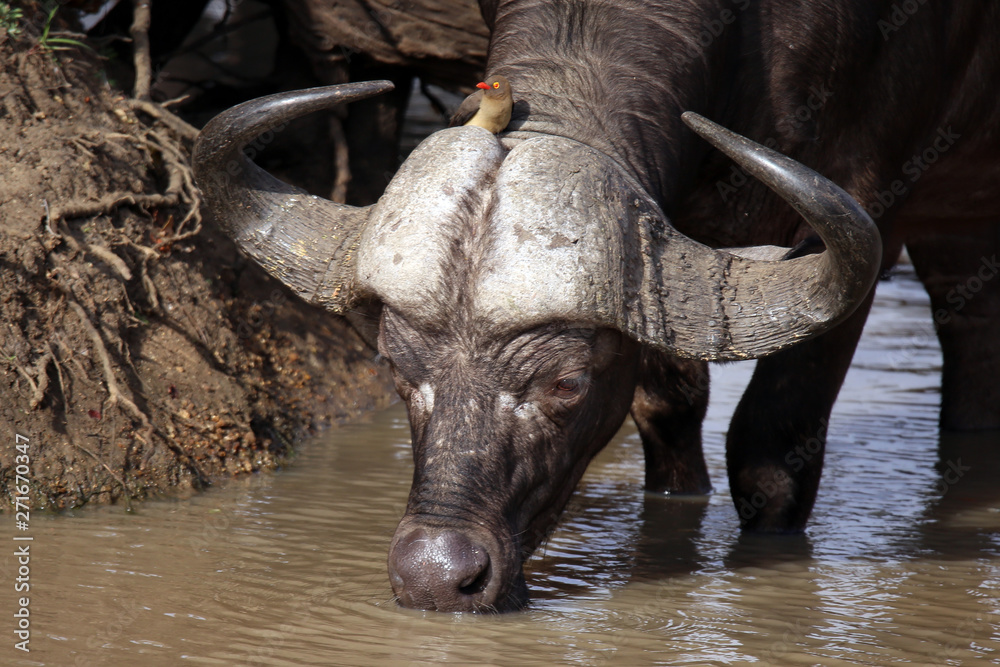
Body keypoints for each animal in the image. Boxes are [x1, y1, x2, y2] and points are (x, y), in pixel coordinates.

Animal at [194, 0, 1000, 612]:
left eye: (565, 383)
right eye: (395, 367)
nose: (434, 576)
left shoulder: (875, 202)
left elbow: (770, 452)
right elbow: (670, 407)